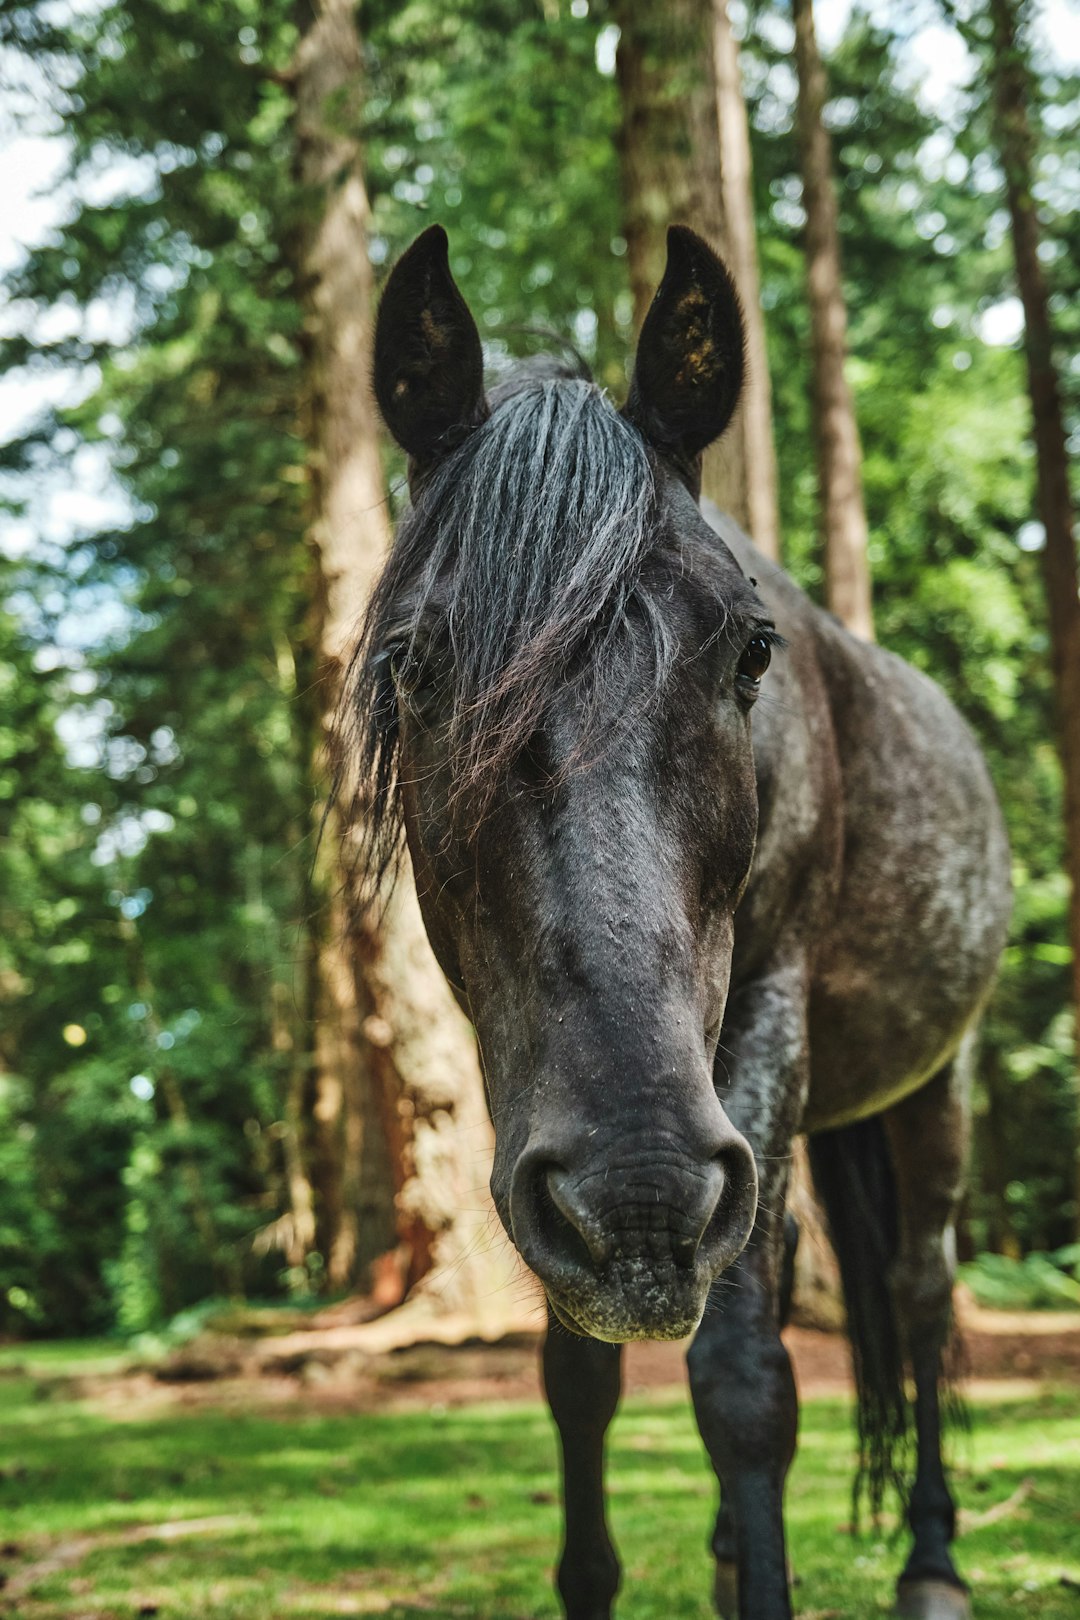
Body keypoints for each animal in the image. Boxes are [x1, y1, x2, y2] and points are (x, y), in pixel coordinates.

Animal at [351, 225, 1016, 1620]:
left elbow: (746, 1376)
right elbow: (579, 1374)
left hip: (933, 1086)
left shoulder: (762, 1020)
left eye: (752, 652)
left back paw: (932, 1558)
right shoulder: (530, 1103)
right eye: (414, 666)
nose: (643, 1195)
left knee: (922, 1295)